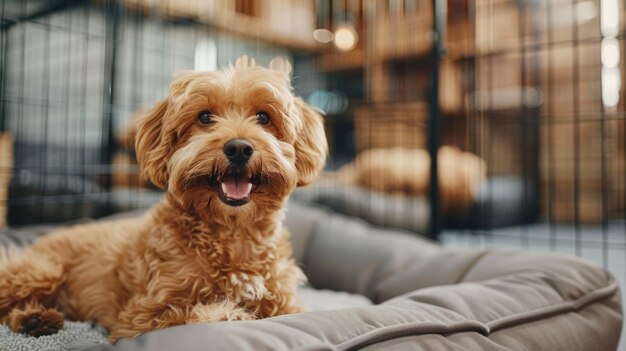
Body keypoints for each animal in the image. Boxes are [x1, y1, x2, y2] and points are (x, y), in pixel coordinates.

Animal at [1, 56, 326, 342]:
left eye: (263, 117)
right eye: (204, 116)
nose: (238, 148)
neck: (232, 234)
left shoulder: (286, 303)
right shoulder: (138, 317)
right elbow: (186, 315)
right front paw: (227, 313)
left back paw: (37, 319)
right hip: (43, 271)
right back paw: (32, 319)